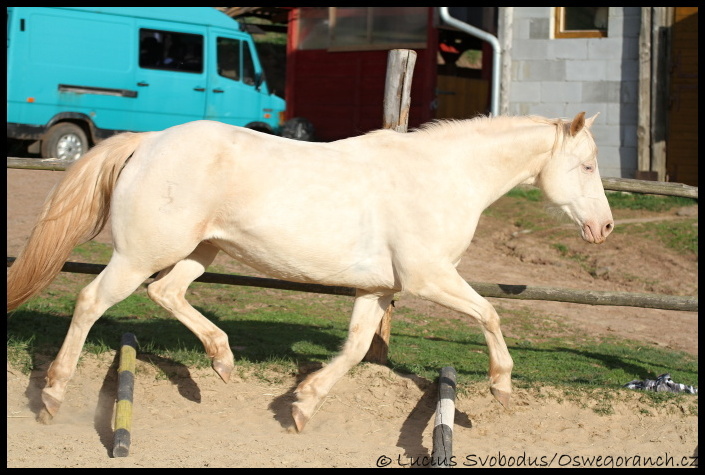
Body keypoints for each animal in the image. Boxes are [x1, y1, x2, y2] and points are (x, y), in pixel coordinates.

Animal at [5, 113, 612, 434]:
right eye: (586, 165)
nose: (604, 227)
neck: (443, 178)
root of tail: (148, 142)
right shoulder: (428, 278)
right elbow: (490, 313)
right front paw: (503, 386)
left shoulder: (378, 288)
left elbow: (357, 346)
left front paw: (302, 405)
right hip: (140, 254)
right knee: (90, 301)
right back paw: (52, 396)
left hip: (201, 251)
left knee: (168, 294)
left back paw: (222, 362)